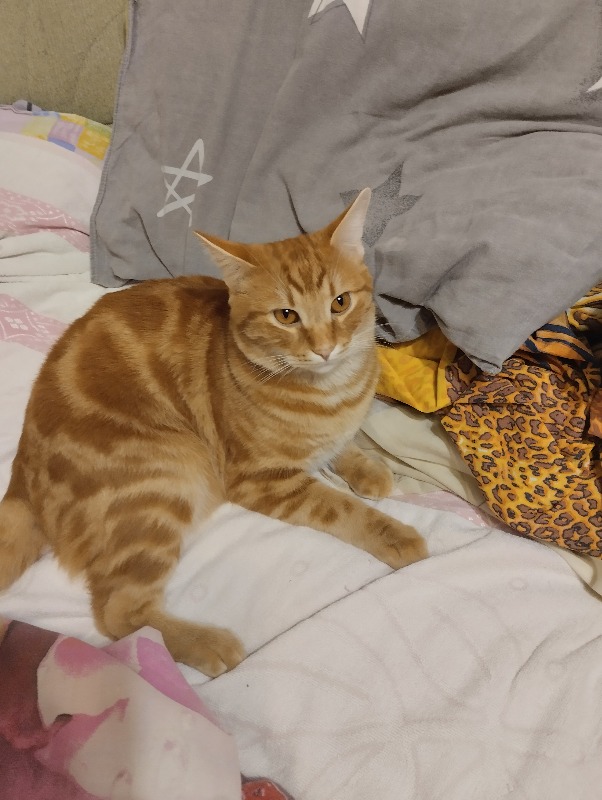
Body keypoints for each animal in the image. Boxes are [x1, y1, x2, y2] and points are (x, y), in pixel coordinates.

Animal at [0, 188, 426, 676]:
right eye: (286, 315)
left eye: (340, 302)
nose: (324, 348)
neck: (332, 392)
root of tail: (20, 476)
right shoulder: (262, 480)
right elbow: (343, 508)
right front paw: (395, 535)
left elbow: (342, 445)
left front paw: (366, 467)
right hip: (165, 478)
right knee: (119, 613)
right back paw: (207, 643)